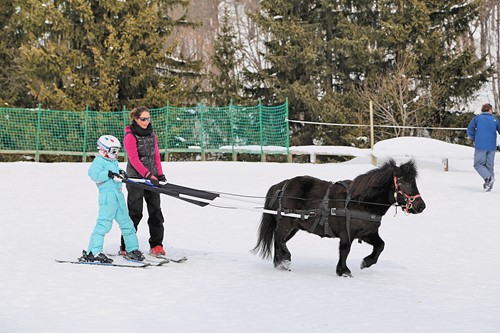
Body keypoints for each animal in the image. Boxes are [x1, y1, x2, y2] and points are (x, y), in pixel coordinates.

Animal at [254, 160, 426, 276]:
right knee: (279, 237)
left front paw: (366, 262)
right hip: (286, 222)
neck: (360, 202)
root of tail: (282, 186)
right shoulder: (346, 233)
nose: (421, 206)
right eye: (405, 183)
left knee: (278, 240)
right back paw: (285, 260)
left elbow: (380, 245)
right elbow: (345, 250)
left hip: (294, 226)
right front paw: (343, 271)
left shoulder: (368, 233)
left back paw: (280, 263)